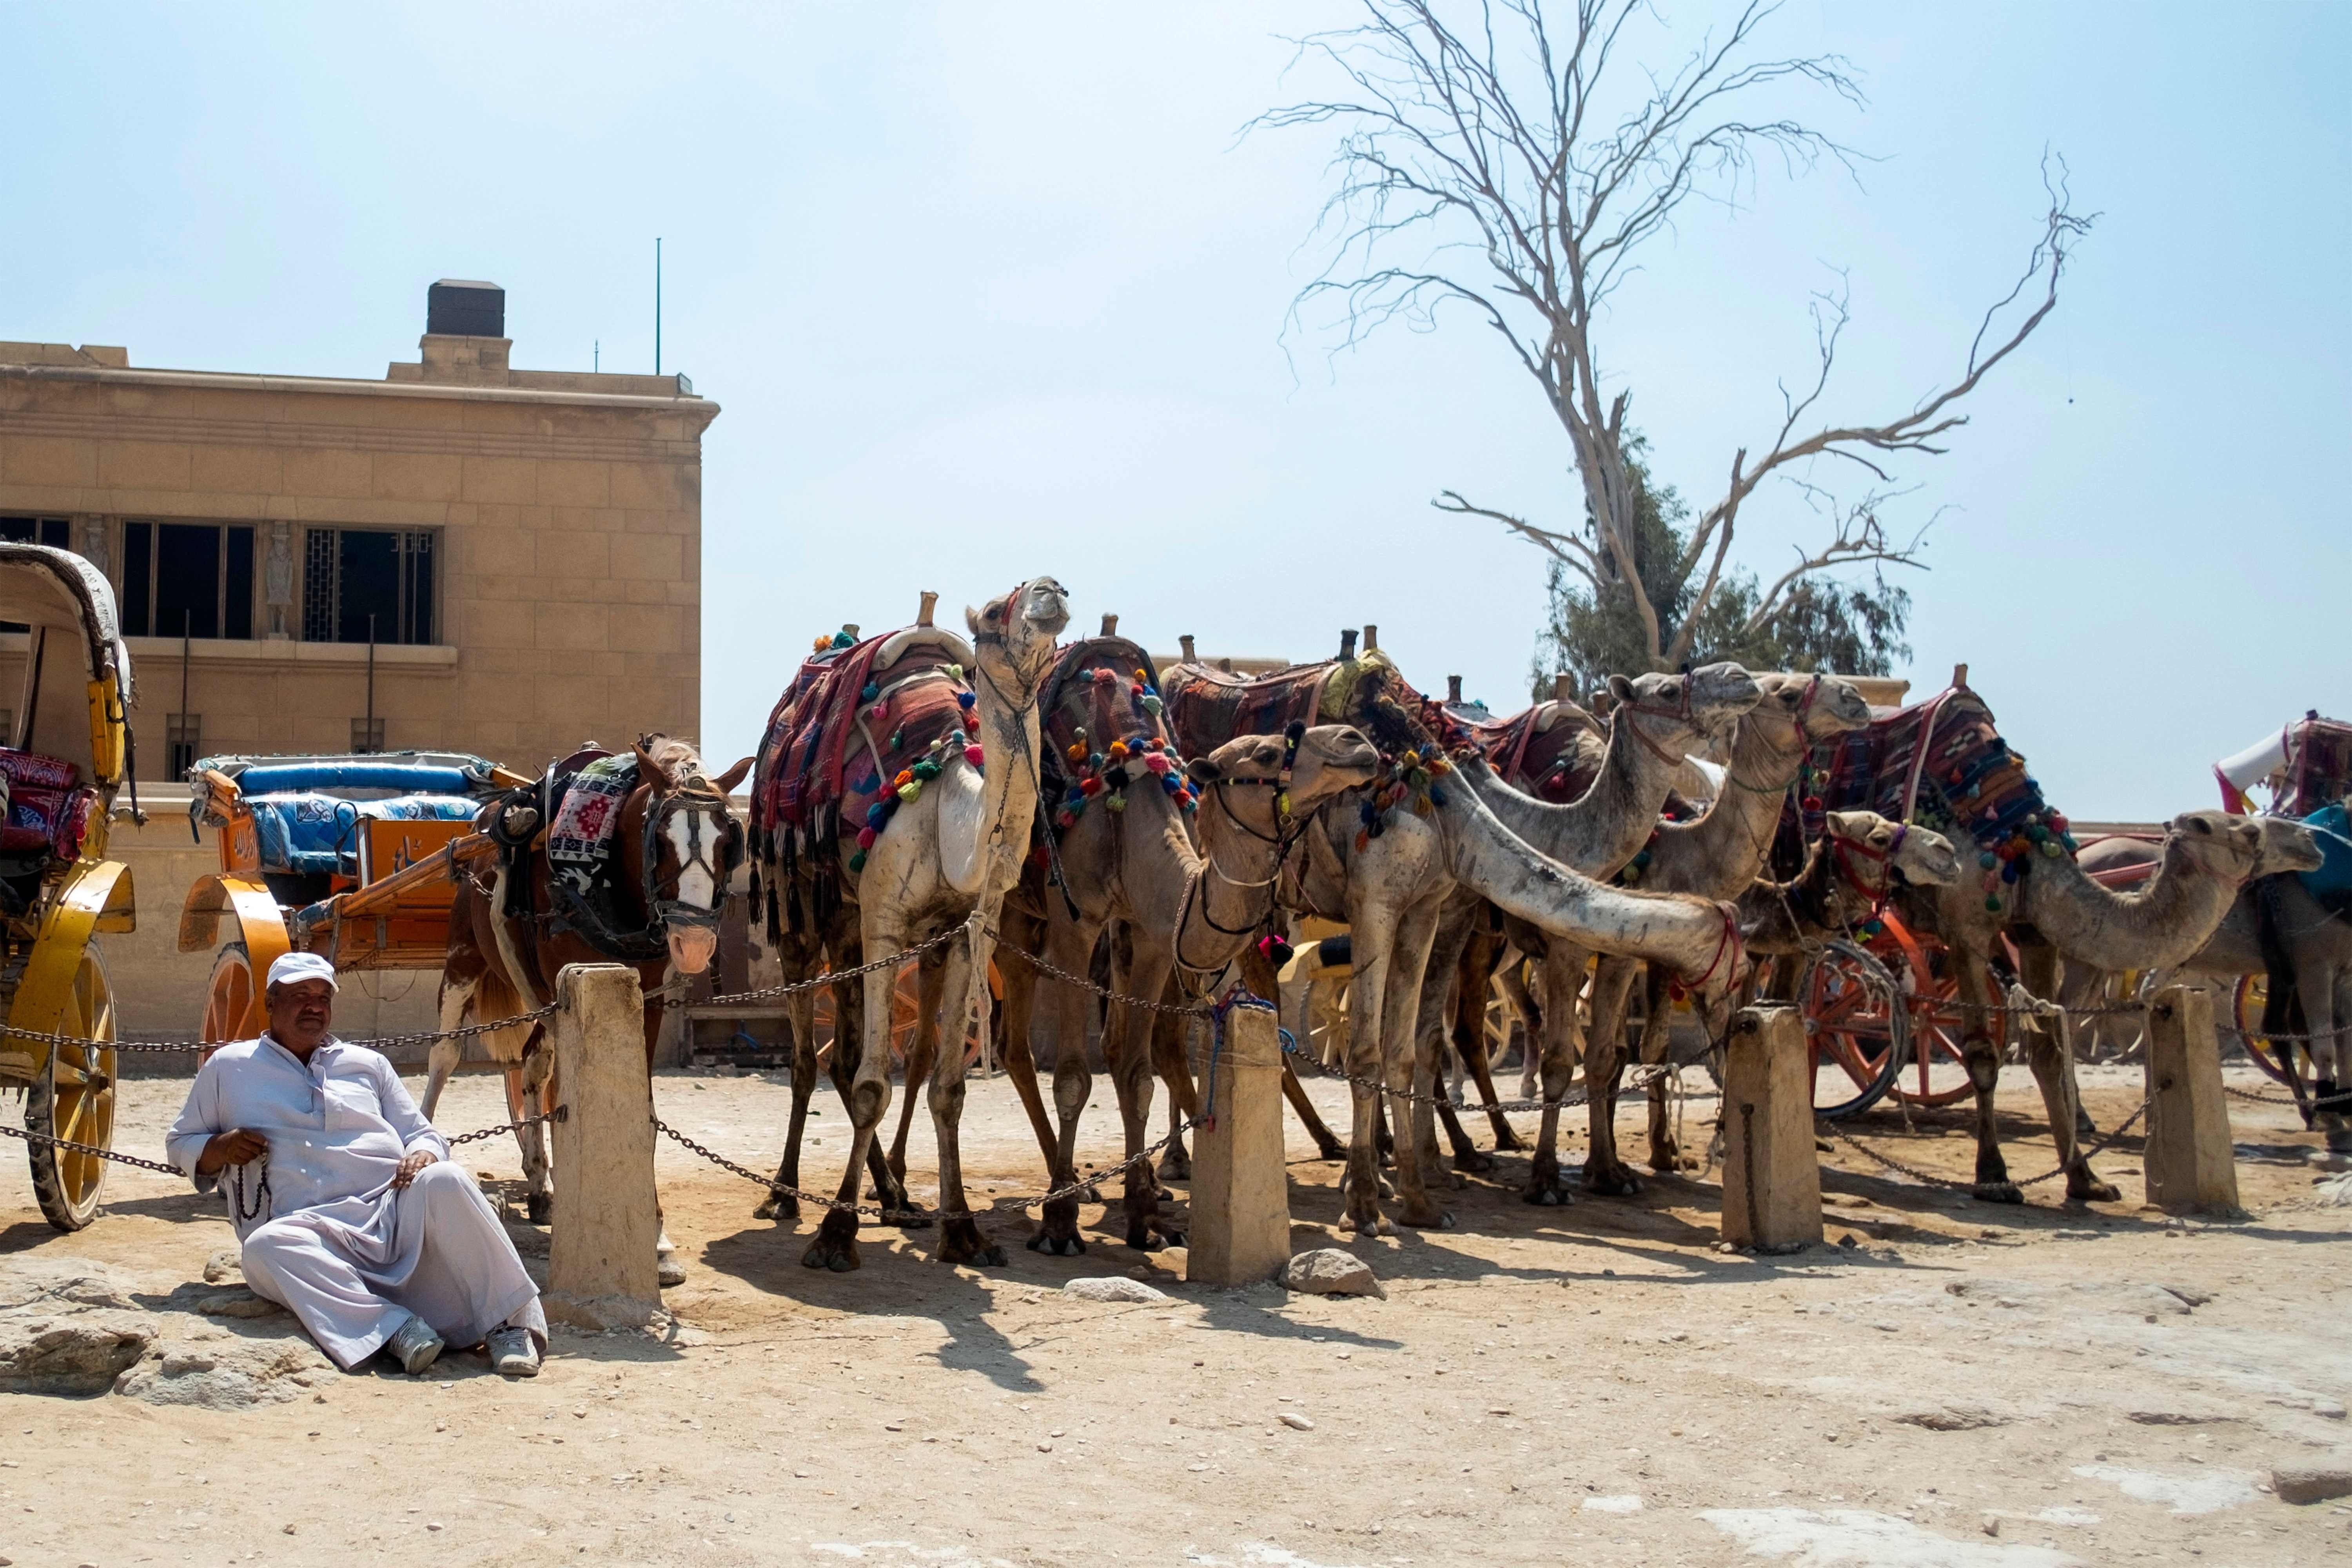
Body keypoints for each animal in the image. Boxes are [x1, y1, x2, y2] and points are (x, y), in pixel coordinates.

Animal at [426, 738, 743, 1288]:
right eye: (660, 841)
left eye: (728, 843)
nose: (694, 943)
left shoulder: (646, 998)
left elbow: (644, 1113)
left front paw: (658, 1240)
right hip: (464, 959)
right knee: (444, 1057)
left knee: (533, 1063)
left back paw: (539, 1182)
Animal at [753, 581, 1077, 1279]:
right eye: (995, 611)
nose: (1050, 592)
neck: (949, 811)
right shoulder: (885, 924)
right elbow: (876, 1084)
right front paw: (835, 1236)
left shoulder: (965, 934)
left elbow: (948, 1089)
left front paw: (964, 1231)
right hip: (802, 912)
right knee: (807, 1058)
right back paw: (784, 1195)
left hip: (848, 925)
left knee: (845, 1056)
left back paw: (896, 1196)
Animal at [993, 719, 1374, 1250]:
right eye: (1265, 753)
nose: (1357, 741)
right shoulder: (1076, 925)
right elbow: (1072, 1078)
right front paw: (1059, 1224)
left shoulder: (1153, 933)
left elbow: (1137, 1075)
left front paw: (1146, 1218)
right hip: (1008, 921)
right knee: (1004, 1042)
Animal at [1167, 649, 1759, 1241]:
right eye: (1665, 691)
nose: (1744, 679)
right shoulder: (1377, 900)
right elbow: (1369, 1048)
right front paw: (1366, 1201)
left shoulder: (1431, 907)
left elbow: (1409, 1048)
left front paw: (1418, 1195)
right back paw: (1187, 1163)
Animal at [1571, 668, 1882, 1194]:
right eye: (1788, 694)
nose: (1856, 697)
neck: (1684, 848)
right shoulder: (1626, 950)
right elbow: (1611, 1052)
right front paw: (1607, 1169)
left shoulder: (1678, 956)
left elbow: (1653, 1046)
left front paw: (1664, 1152)